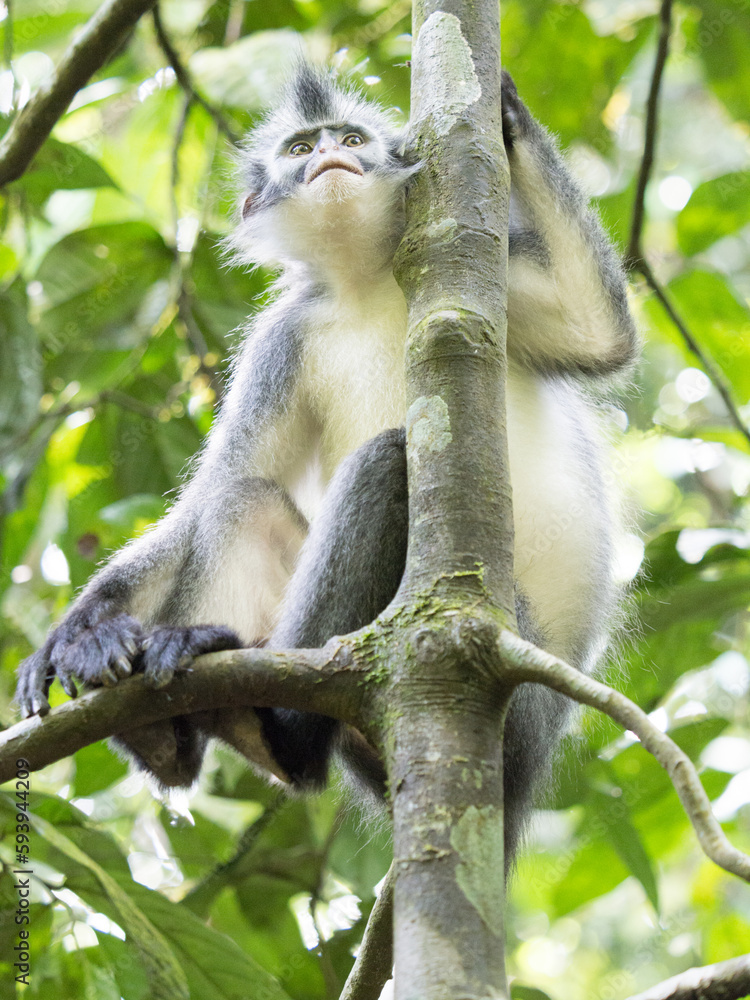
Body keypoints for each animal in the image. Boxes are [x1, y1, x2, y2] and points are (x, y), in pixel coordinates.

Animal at [16, 65, 638, 864]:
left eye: (351, 138)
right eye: (301, 148)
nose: (332, 156)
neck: (367, 280)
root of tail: (515, 795)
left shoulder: (493, 272)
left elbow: (601, 332)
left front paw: (503, 105)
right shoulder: (283, 338)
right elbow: (219, 487)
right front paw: (79, 632)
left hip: (512, 669)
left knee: (384, 462)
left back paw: (280, 734)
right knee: (244, 499)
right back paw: (183, 726)